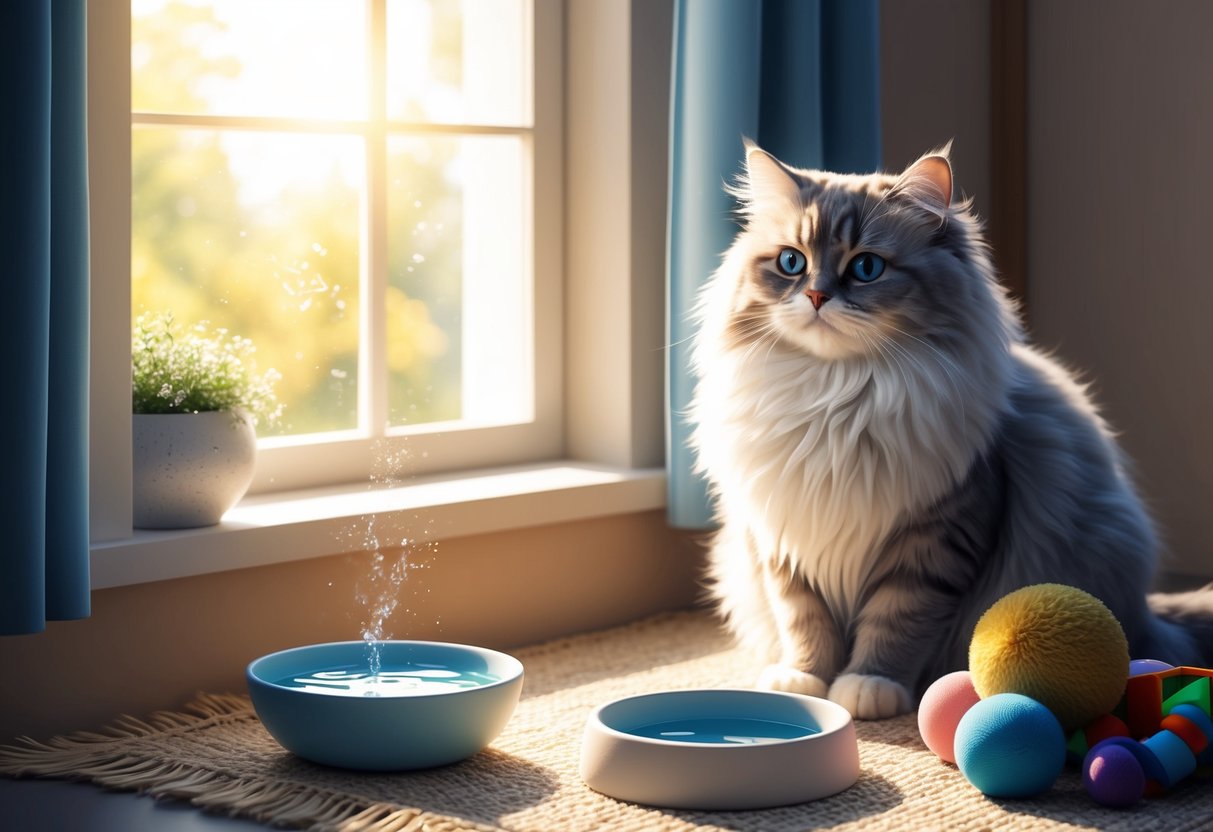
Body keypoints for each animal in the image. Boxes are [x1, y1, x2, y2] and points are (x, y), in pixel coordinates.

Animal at [688, 140, 1213, 717]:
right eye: (791, 263)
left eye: (866, 267)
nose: (818, 297)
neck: (835, 396)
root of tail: (1150, 613)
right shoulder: (783, 540)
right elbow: (804, 623)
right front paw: (802, 681)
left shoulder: (936, 539)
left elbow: (895, 622)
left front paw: (867, 687)